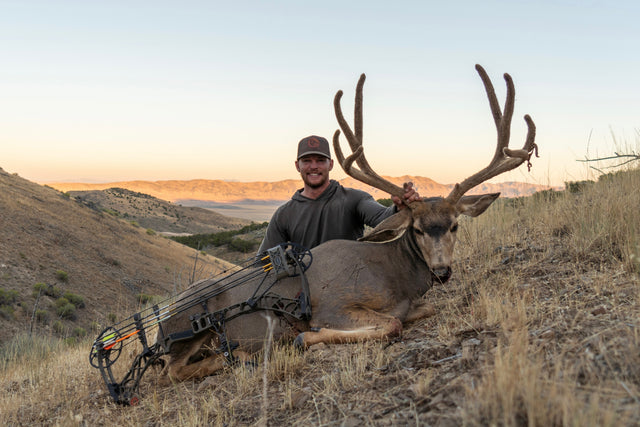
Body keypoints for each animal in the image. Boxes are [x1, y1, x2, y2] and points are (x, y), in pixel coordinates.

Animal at [156, 64, 538, 383]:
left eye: (455, 225)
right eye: (417, 229)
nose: (442, 271)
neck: (394, 276)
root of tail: (162, 320)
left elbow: (420, 310)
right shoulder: (333, 305)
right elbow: (391, 324)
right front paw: (306, 336)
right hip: (189, 328)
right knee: (170, 372)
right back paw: (239, 355)